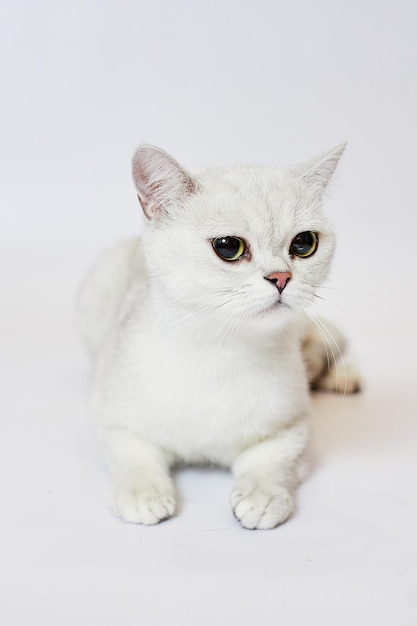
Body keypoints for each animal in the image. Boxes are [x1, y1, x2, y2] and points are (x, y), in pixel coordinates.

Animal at [79, 144, 360, 528]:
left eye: (304, 243)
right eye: (229, 247)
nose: (282, 277)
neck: (220, 351)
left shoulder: (294, 425)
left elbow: (275, 460)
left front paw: (263, 495)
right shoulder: (111, 415)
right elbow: (132, 455)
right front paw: (143, 492)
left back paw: (341, 378)